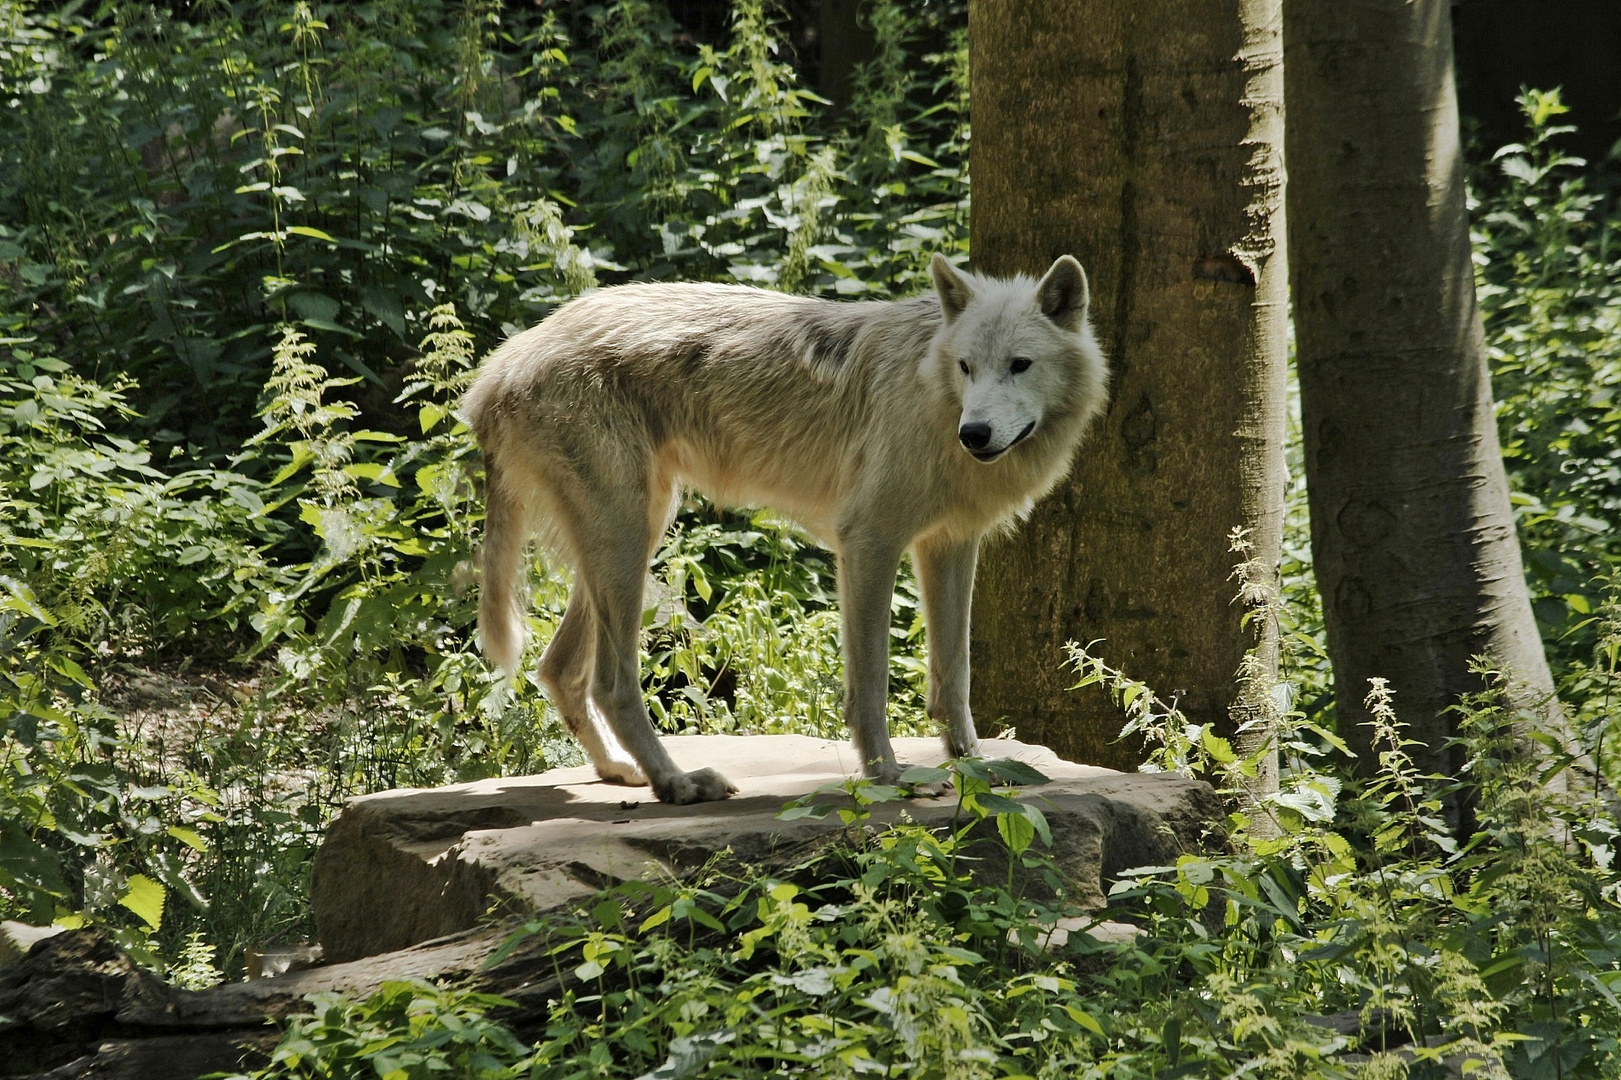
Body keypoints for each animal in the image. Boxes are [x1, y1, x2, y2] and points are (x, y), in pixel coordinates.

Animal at [463, 254, 1108, 797]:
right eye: (966, 367)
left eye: (1019, 366)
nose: (974, 434)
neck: (932, 393)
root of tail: (499, 365)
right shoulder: (869, 543)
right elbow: (870, 684)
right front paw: (887, 776)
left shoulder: (949, 545)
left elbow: (955, 676)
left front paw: (974, 767)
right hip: (628, 542)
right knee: (612, 684)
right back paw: (677, 783)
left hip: (630, 537)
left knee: (557, 668)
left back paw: (621, 772)